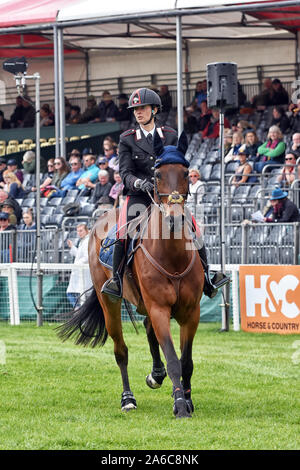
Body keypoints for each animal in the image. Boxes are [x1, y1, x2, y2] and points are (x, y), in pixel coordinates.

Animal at [58, 132, 204, 418]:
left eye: (185, 172)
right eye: (157, 174)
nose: (174, 219)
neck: (172, 254)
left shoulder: (191, 311)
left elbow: (187, 361)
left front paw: (187, 399)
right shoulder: (159, 307)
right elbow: (173, 359)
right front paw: (180, 405)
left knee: (147, 330)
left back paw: (156, 376)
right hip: (110, 303)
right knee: (121, 350)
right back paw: (128, 398)